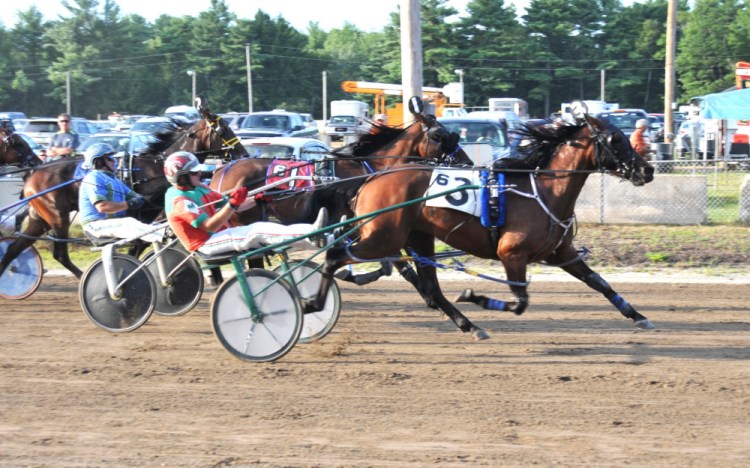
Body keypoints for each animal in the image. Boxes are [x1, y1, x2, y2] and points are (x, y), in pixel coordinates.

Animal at [0, 98, 247, 282]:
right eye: (224, 129)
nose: (243, 154)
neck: (156, 168)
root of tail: (34, 172)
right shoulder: (148, 213)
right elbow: (140, 244)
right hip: (57, 216)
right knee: (60, 253)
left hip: (39, 219)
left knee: (14, 249)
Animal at [306, 108, 656, 338]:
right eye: (615, 139)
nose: (647, 170)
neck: (544, 191)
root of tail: (371, 179)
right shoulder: (511, 254)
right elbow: (520, 302)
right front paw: (473, 295)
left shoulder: (561, 253)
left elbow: (600, 283)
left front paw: (638, 316)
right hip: (383, 236)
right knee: (334, 256)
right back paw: (312, 303)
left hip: (417, 237)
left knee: (431, 289)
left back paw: (470, 326)